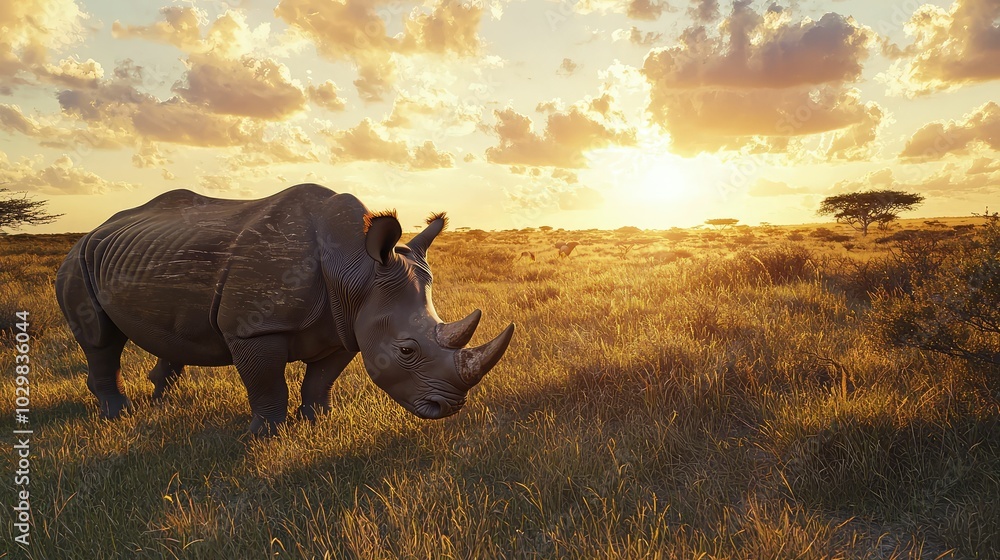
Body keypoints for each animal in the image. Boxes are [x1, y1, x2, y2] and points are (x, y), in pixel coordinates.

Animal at [55, 184, 515, 435]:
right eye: (406, 350)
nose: (448, 408)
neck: (356, 267)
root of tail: (94, 230)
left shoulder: (346, 326)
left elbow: (321, 380)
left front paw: (317, 421)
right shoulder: (253, 328)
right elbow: (267, 383)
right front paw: (266, 435)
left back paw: (159, 402)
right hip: (78, 261)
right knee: (101, 340)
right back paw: (118, 413)